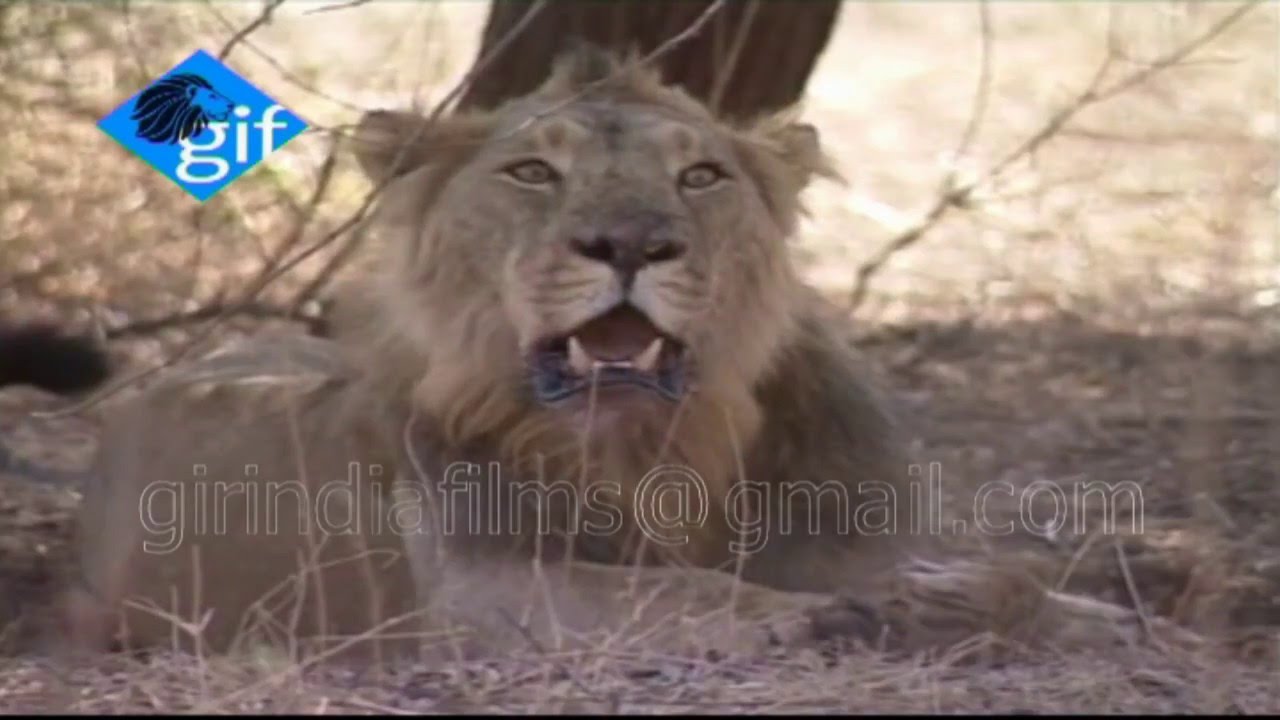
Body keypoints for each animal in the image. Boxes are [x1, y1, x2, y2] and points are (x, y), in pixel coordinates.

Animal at [56, 46, 1201, 663]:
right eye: (530, 171)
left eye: (699, 176)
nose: (629, 244)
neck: (660, 451)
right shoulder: (479, 590)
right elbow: (689, 593)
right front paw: (840, 619)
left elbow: (1030, 580)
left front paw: (1033, 607)